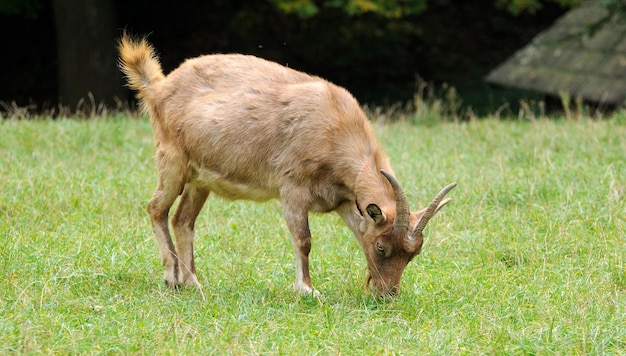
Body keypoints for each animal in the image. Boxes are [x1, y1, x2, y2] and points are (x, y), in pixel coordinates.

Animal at [116, 34, 454, 298]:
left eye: (413, 254)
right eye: (383, 248)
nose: (387, 295)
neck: (336, 127)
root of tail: (159, 88)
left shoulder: (344, 200)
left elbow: (358, 234)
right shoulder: (292, 187)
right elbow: (304, 239)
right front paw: (307, 289)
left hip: (201, 179)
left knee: (183, 220)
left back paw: (193, 283)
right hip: (172, 161)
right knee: (156, 208)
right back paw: (172, 278)